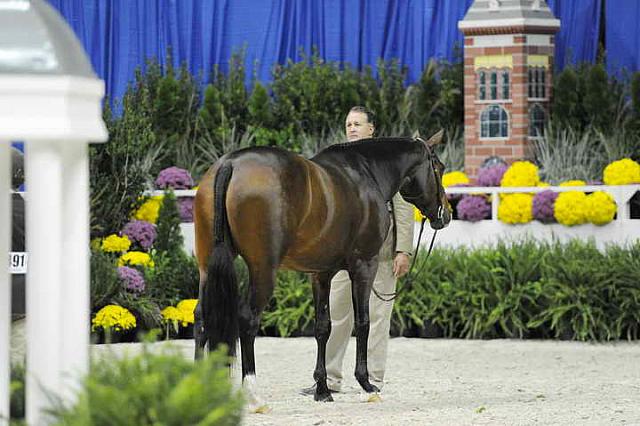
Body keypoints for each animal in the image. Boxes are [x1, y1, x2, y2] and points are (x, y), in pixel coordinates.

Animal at [194, 132, 450, 410]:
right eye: (439, 168)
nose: (446, 215)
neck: (366, 173)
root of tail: (230, 164)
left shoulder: (321, 274)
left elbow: (323, 327)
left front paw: (322, 389)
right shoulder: (364, 265)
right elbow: (363, 323)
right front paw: (366, 385)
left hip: (207, 268)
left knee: (201, 317)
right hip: (263, 270)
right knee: (248, 319)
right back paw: (253, 396)